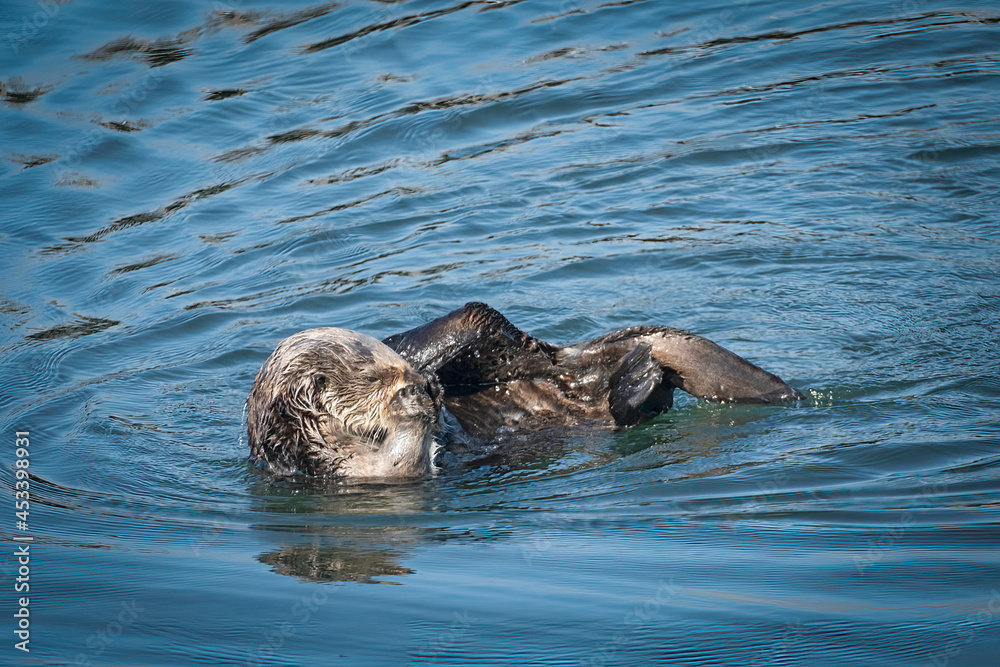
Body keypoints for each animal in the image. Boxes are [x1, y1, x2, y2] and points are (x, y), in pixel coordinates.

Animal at [247, 302, 802, 478]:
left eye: (390, 369)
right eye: (375, 377)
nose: (416, 382)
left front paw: (430, 388)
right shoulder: (342, 470)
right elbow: (400, 464)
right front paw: (412, 405)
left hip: (494, 338)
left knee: (489, 326)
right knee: (635, 403)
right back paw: (638, 379)